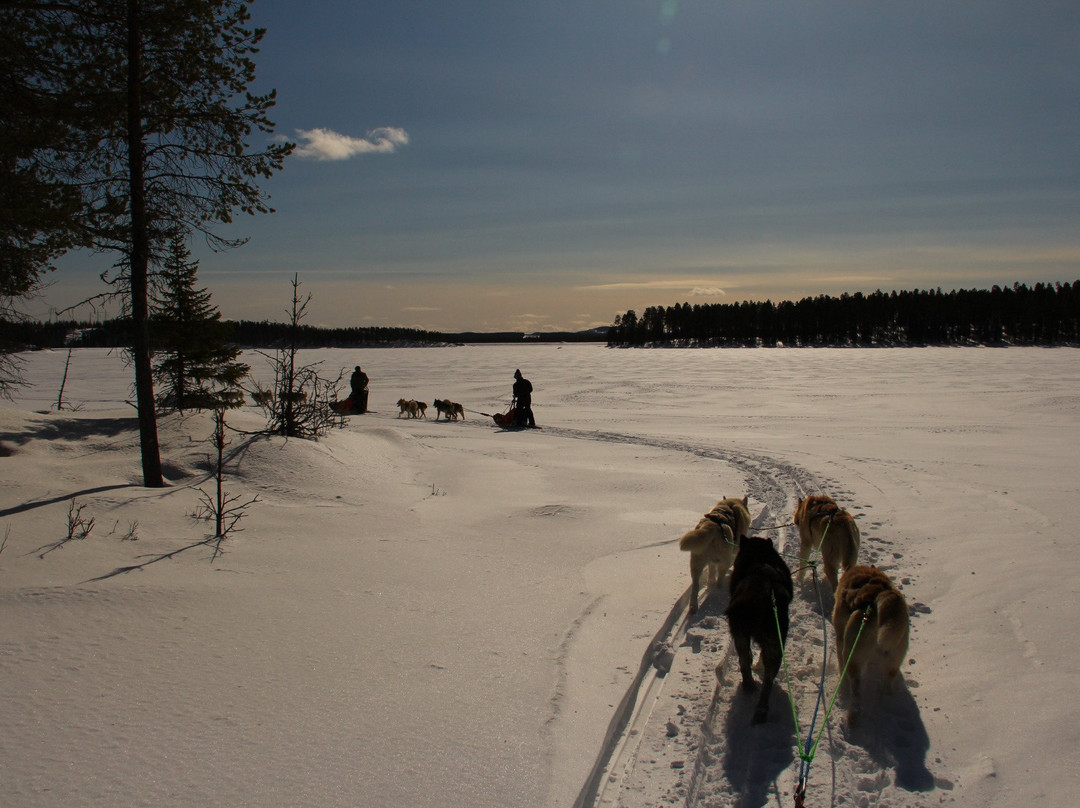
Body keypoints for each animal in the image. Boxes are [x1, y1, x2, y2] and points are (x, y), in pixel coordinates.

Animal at [725, 533, 794, 721]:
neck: (759, 554)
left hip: (743, 634)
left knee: (745, 660)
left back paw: (751, 689)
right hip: (773, 642)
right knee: (766, 677)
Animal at [833, 566, 911, 721]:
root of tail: (878, 596)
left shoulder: (840, 638)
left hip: (852, 657)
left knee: (856, 690)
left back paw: (853, 715)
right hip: (893, 660)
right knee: (888, 683)